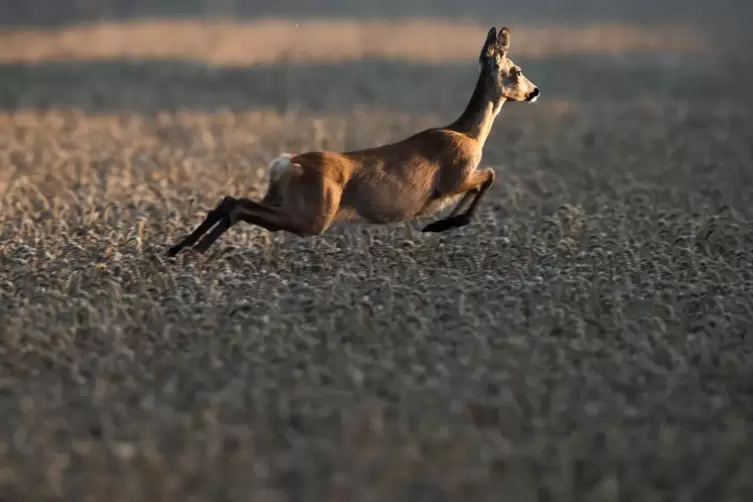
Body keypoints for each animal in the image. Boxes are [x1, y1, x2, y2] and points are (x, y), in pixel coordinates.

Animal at [167, 25, 536, 256]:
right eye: (516, 70)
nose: (535, 91)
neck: (468, 132)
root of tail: (286, 165)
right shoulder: (454, 175)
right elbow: (489, 176)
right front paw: (443, 224)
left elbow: (485, 180)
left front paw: (442, 223)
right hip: (314, 214)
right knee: (240, 206)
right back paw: (190, 250)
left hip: (284, 200)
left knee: (232, 201)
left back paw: (181, 249)